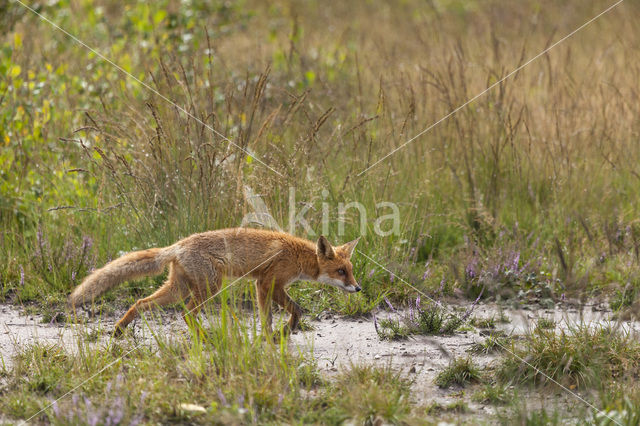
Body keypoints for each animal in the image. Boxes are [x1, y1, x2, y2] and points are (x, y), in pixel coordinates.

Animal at [70, 228, 362, 334]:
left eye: (350, 270)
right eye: (341, 271)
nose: (358, 288)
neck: (298, 256)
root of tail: (177, 245)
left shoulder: (266, 285)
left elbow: (279, 314)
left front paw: (278, 334)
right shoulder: (267, 284)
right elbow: (290, 311)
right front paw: (279, 334)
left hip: (177, 290)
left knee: (141, 303)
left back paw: (119, 330)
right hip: (209, 288)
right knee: (186, 314)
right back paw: (204, 338)